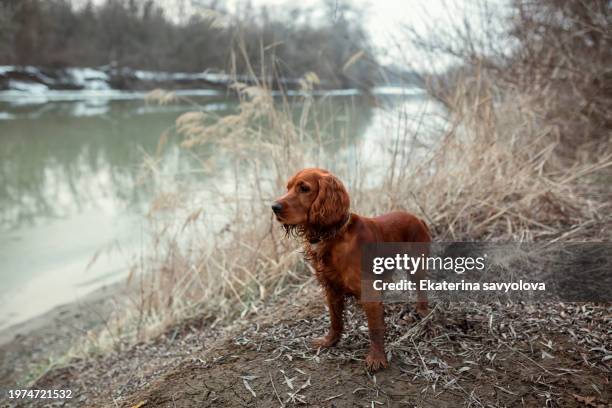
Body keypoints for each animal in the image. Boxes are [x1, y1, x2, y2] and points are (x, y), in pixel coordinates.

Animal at [272, 167, 430, 372]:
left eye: (304, 188)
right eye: (288, 187)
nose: (274, 207)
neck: (333, 236)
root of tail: (418, 219)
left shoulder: (368, 292)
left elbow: (374, 329)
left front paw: (377, 358)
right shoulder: (331, 289)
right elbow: (335, 320)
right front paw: (329, 341)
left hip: (416, 266)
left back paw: (422, 311)